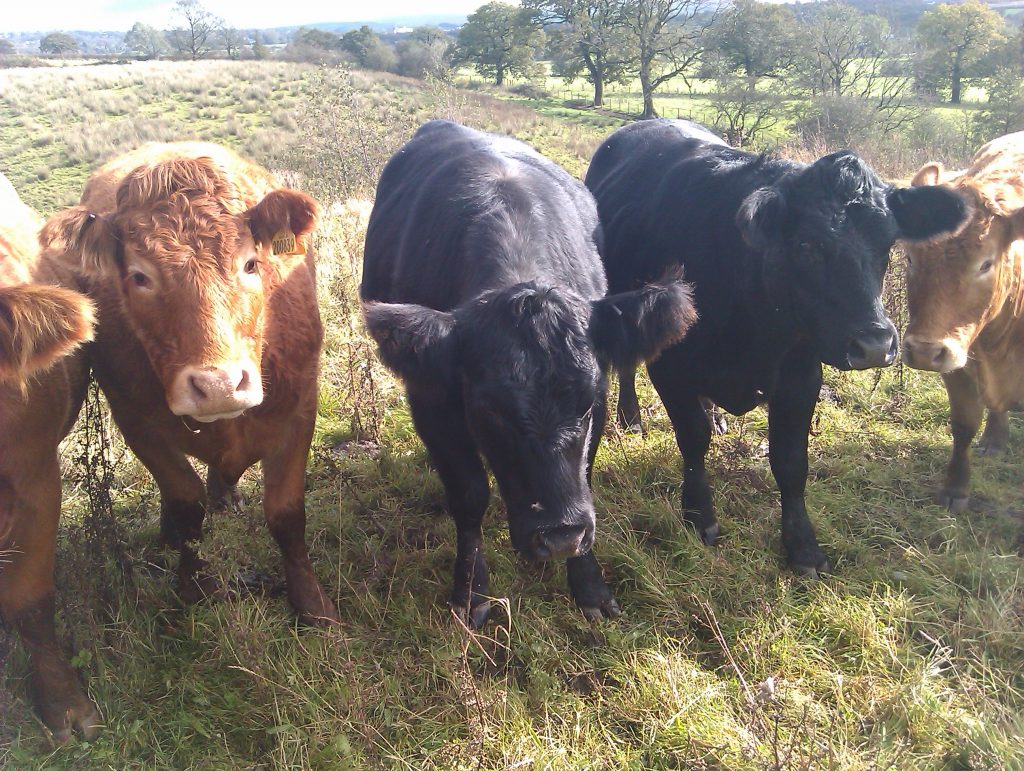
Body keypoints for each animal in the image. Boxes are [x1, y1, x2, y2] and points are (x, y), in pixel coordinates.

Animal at [41, 143, 340, 638]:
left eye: (251, 264)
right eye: (139, 276)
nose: (218, 385)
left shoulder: (300, 409)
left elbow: (286, 513)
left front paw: (313, 608)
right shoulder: (138, 423)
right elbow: (185, 505)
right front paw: (194, 591)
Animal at [361, 121, 696, 625]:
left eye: (586, 402)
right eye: (491, 411)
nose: (559, 536)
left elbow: (584, 474)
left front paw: (590, 587)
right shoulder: (432, 403)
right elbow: (469, 495)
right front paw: (472, 593)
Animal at [585, 119, 971, 575]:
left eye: (889, 245)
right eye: (806, 245)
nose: (875, 344)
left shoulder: (800, 376)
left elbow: (790, 461)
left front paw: (803, 546)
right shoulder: (671, 368)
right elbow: (693, 440)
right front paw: (699, 516)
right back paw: (631, 418)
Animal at [902, 131, 1024, 511]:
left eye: (986, 263)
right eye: (910, 258)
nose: (924, 352)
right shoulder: (958, 361)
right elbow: (964, 423)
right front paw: (956, 488)